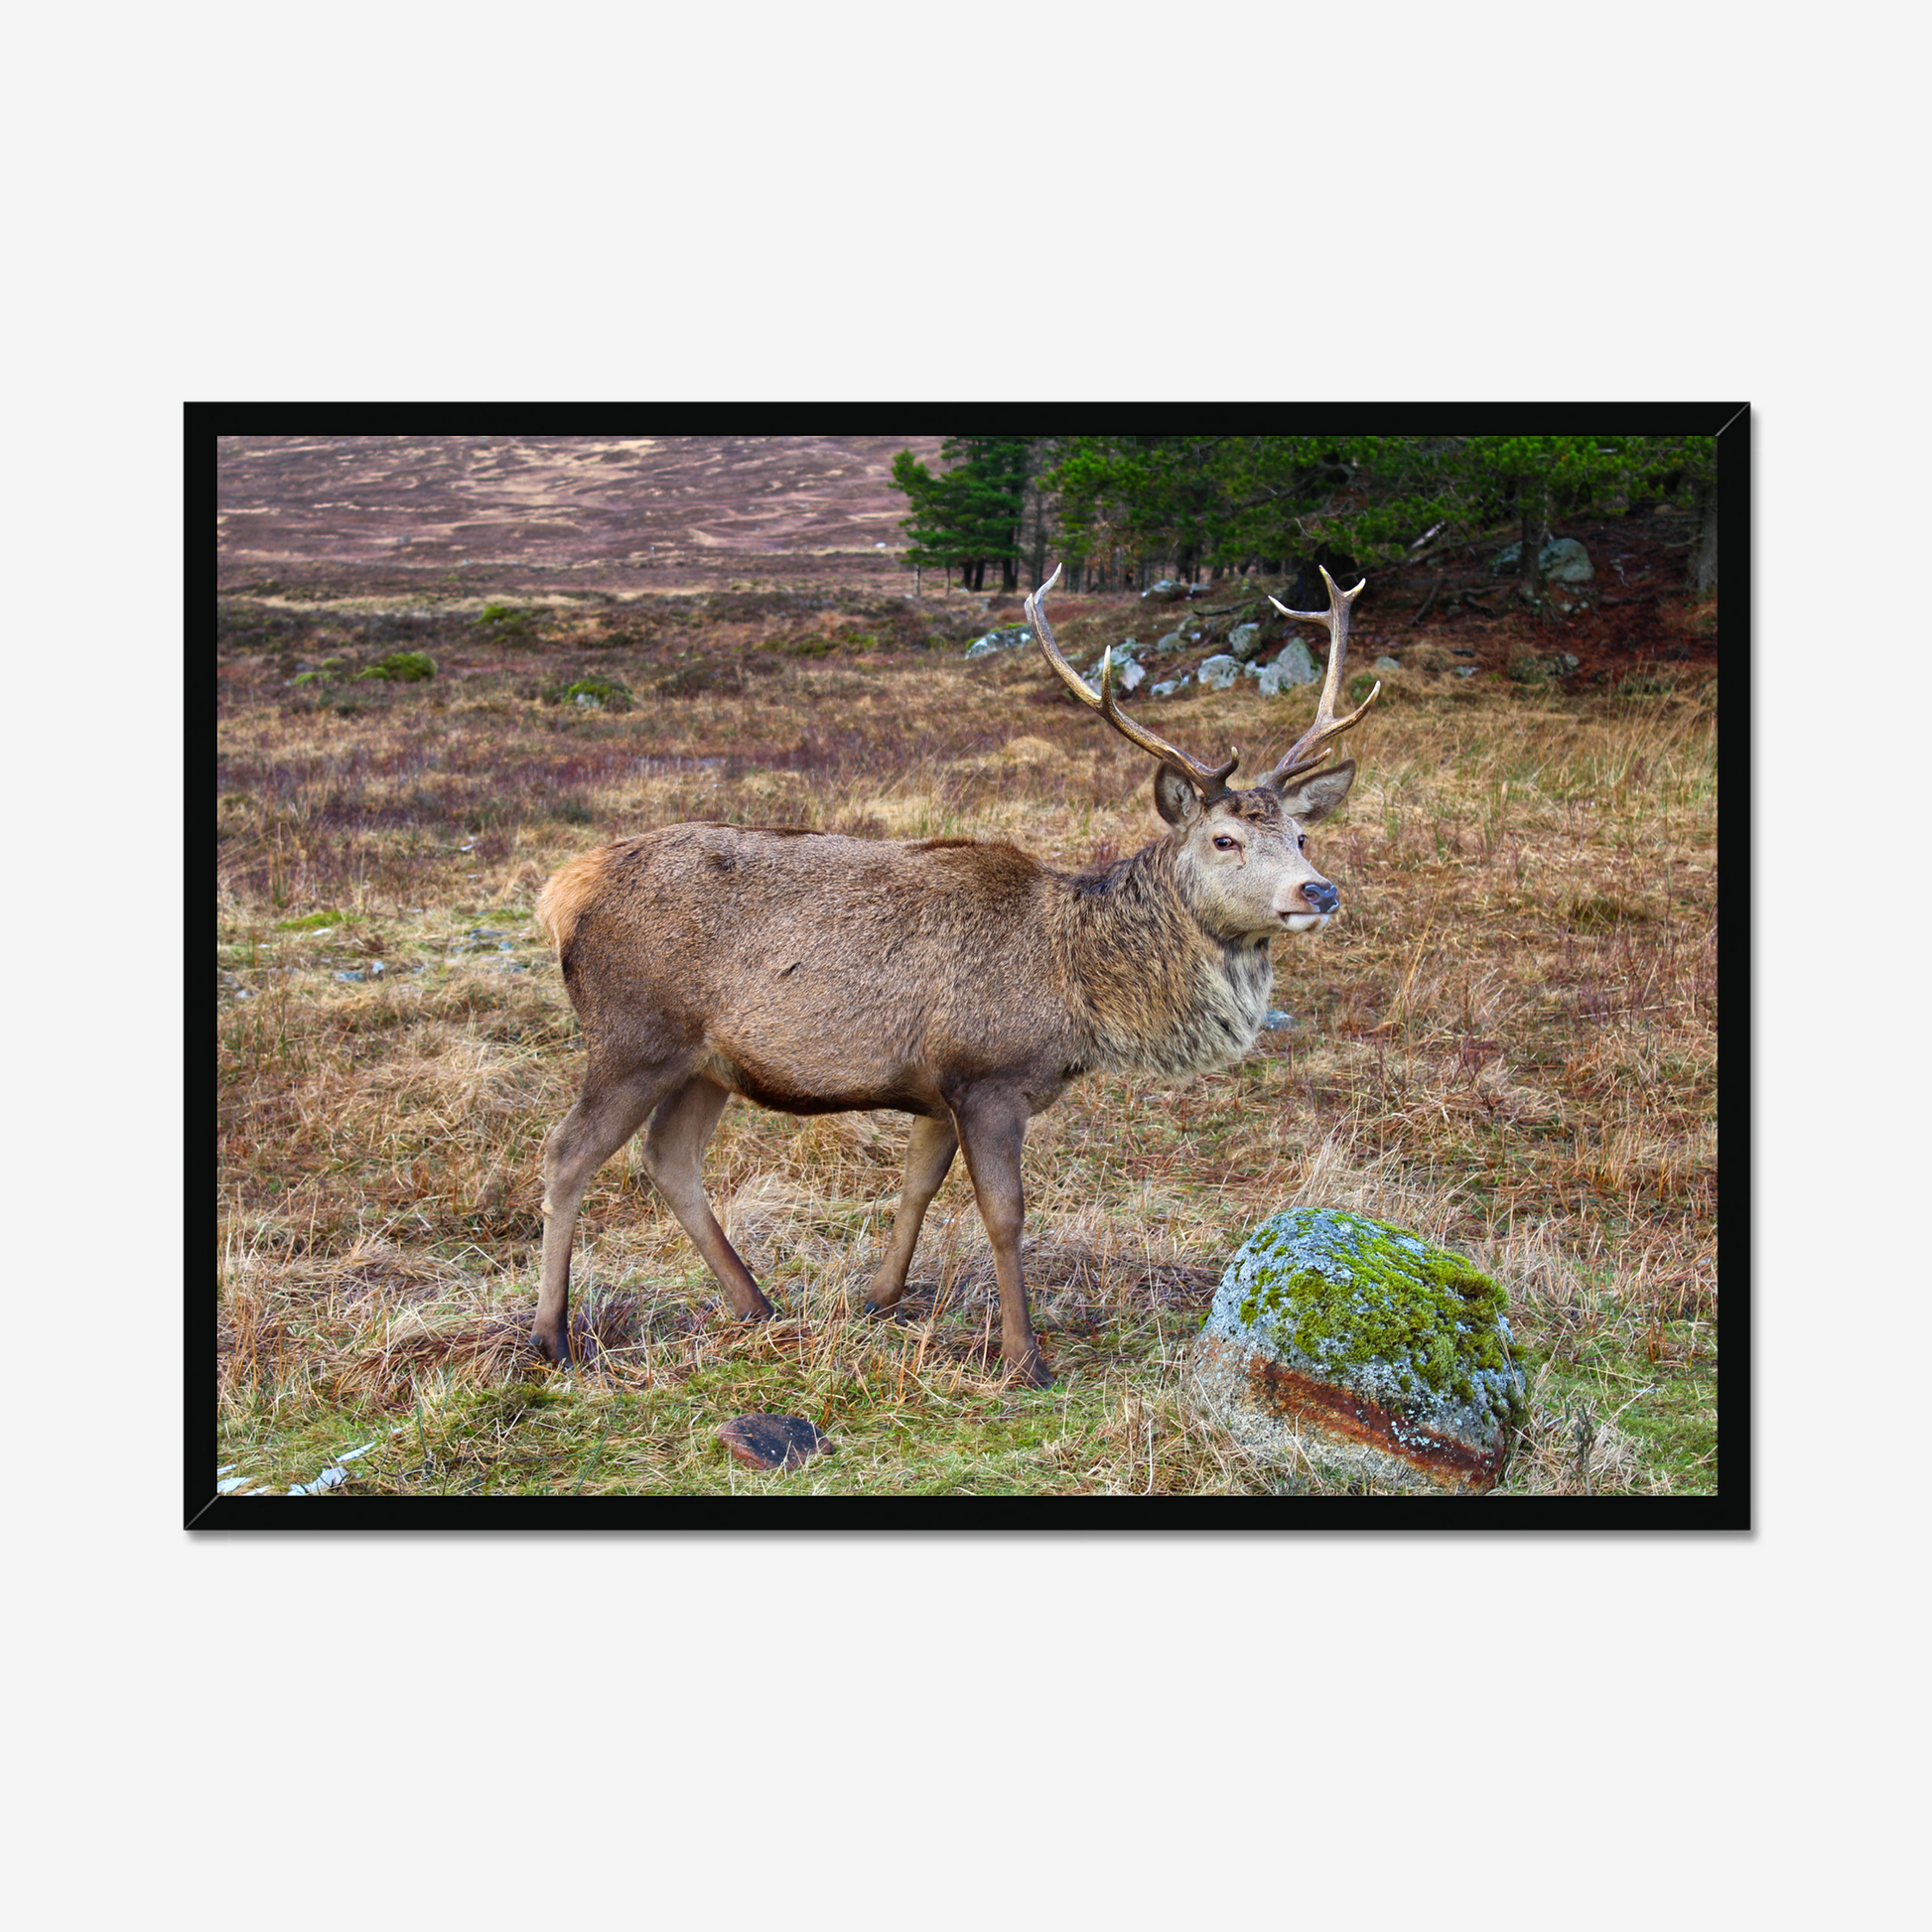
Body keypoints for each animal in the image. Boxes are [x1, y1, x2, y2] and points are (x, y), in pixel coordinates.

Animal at [530, 563, 1378, 1386]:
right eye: (1225, 839)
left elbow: (916, 1188)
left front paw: (878, 1300)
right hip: (633, 1035)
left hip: (708, 1063)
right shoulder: (988, 1076)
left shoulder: (937, 1090)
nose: (1318, 891)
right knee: (568, 1153)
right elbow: (1005, 1215)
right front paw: (1024, 1356)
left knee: (669, 1158)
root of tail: (563, 888)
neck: (1080, 991)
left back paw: (755, 1303)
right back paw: (552, 1336)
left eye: (1302, 834)